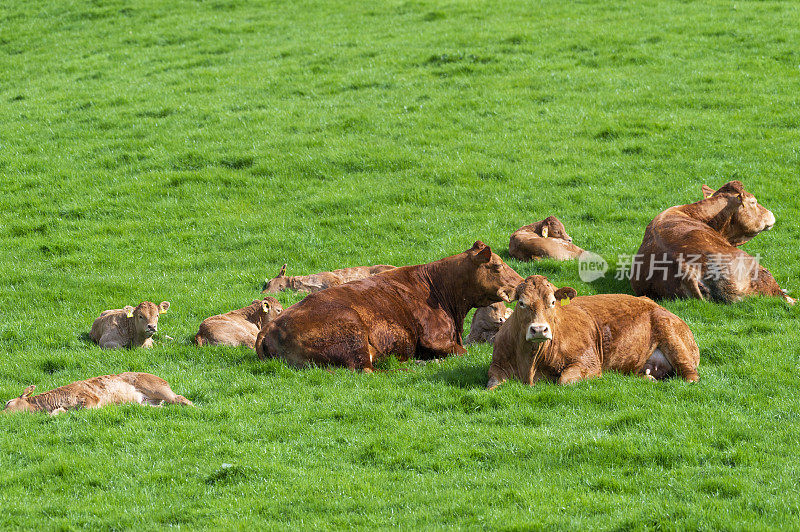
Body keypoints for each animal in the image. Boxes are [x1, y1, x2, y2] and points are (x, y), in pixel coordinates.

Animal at [484, 276, 696, 388]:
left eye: (552, 302)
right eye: (521, 303)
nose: (538, 329)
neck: (530, 363)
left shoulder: (589, 362)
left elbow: (564, 380)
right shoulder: (498, 364)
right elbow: (492, 384)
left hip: (674, 339)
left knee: (690, 376)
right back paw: (647, 377)